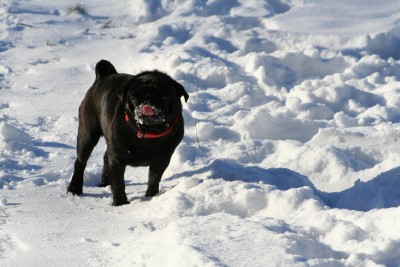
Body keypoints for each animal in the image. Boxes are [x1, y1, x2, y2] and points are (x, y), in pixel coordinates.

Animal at [67, 60, 189, 206]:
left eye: (164, 97)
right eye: (134, 97)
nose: (148, 101)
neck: (148, 133)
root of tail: (102, 78)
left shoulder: (161, 160)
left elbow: (154, 179)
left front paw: (151, 196)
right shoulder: (117, 159)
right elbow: (119, 183)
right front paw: (120, 203)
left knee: (105, 158)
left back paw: (105, 183)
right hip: (87, 134)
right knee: (81, 162)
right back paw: (74, 188)